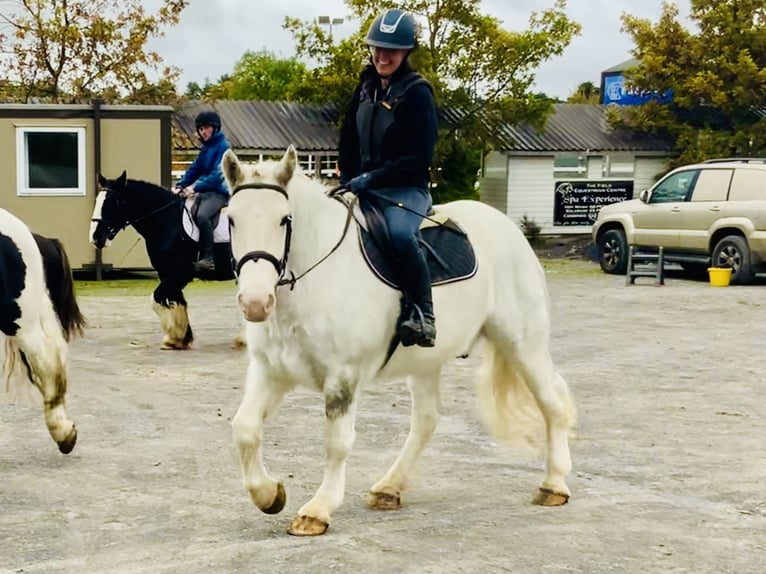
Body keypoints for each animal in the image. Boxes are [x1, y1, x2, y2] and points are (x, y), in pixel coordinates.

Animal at [89, 171, 237, 352]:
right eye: (97, 200)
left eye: (113, 202)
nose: (96, 237)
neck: (167, 220)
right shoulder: (167, 274)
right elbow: (176, 300)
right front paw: (180, 338)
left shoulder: (179, 273)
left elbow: (156, 299)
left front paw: (174, 336)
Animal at [222, 147, 576, 536]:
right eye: (232, 219)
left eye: (284, 219)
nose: (255, 303)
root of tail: (507, 227)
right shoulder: (270, 371)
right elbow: (244, 427)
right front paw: (269, 495)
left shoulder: (343, 376)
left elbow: (337, 443)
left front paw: (317, 510)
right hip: (428, 362)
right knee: (426, 420)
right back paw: (389, 487)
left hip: (524, 344)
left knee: (552, 402)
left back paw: (554, 485)